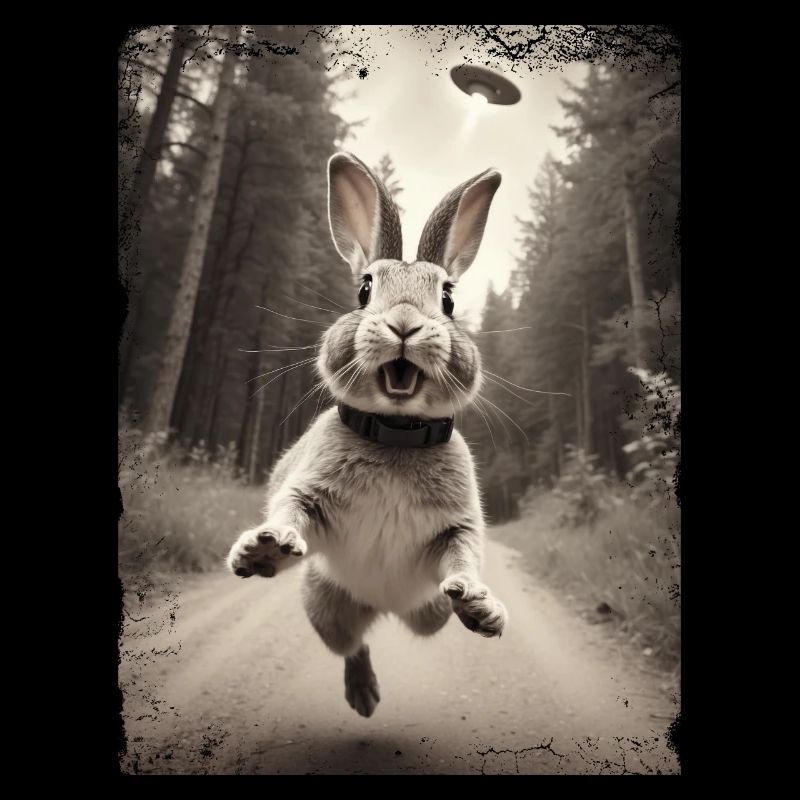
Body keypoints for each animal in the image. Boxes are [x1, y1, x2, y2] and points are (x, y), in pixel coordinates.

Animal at [226, 152, 508, 718]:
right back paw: (363, 694)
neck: (395, 434)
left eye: (447, 298)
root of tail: (381, 606)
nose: (403, 324)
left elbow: (463, 556)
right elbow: (288, 512)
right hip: (324, 604)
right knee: (351, 644)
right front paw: (264, 549)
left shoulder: (457, 528)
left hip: (427, 611)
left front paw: (478, 601)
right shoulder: (307, 492)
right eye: (364, 289)